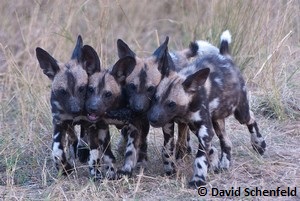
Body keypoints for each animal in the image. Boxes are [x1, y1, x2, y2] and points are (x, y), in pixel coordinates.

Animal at [35, 35, 102, 176]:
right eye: (62, 92)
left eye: (82, 89)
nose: (76, 110)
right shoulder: (59, 123)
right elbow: (57, 150)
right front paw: (65, 168)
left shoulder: (90, 122)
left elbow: (94, 150)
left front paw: (95, 171)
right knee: (72, 137)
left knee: (82, 137)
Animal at [146, 31, 266, 187]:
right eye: (155, 98)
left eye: (171, 104)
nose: (152, 119)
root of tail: (225, 57)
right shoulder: (172, 126)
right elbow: (166, 150)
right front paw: (169, 169)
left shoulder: (204, 130)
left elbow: (200, 157)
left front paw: (198, 179)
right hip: (214, 122)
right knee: (226, 142)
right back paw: (224, 165)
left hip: (241, 112)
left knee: (250, 118)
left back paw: (259, 144)